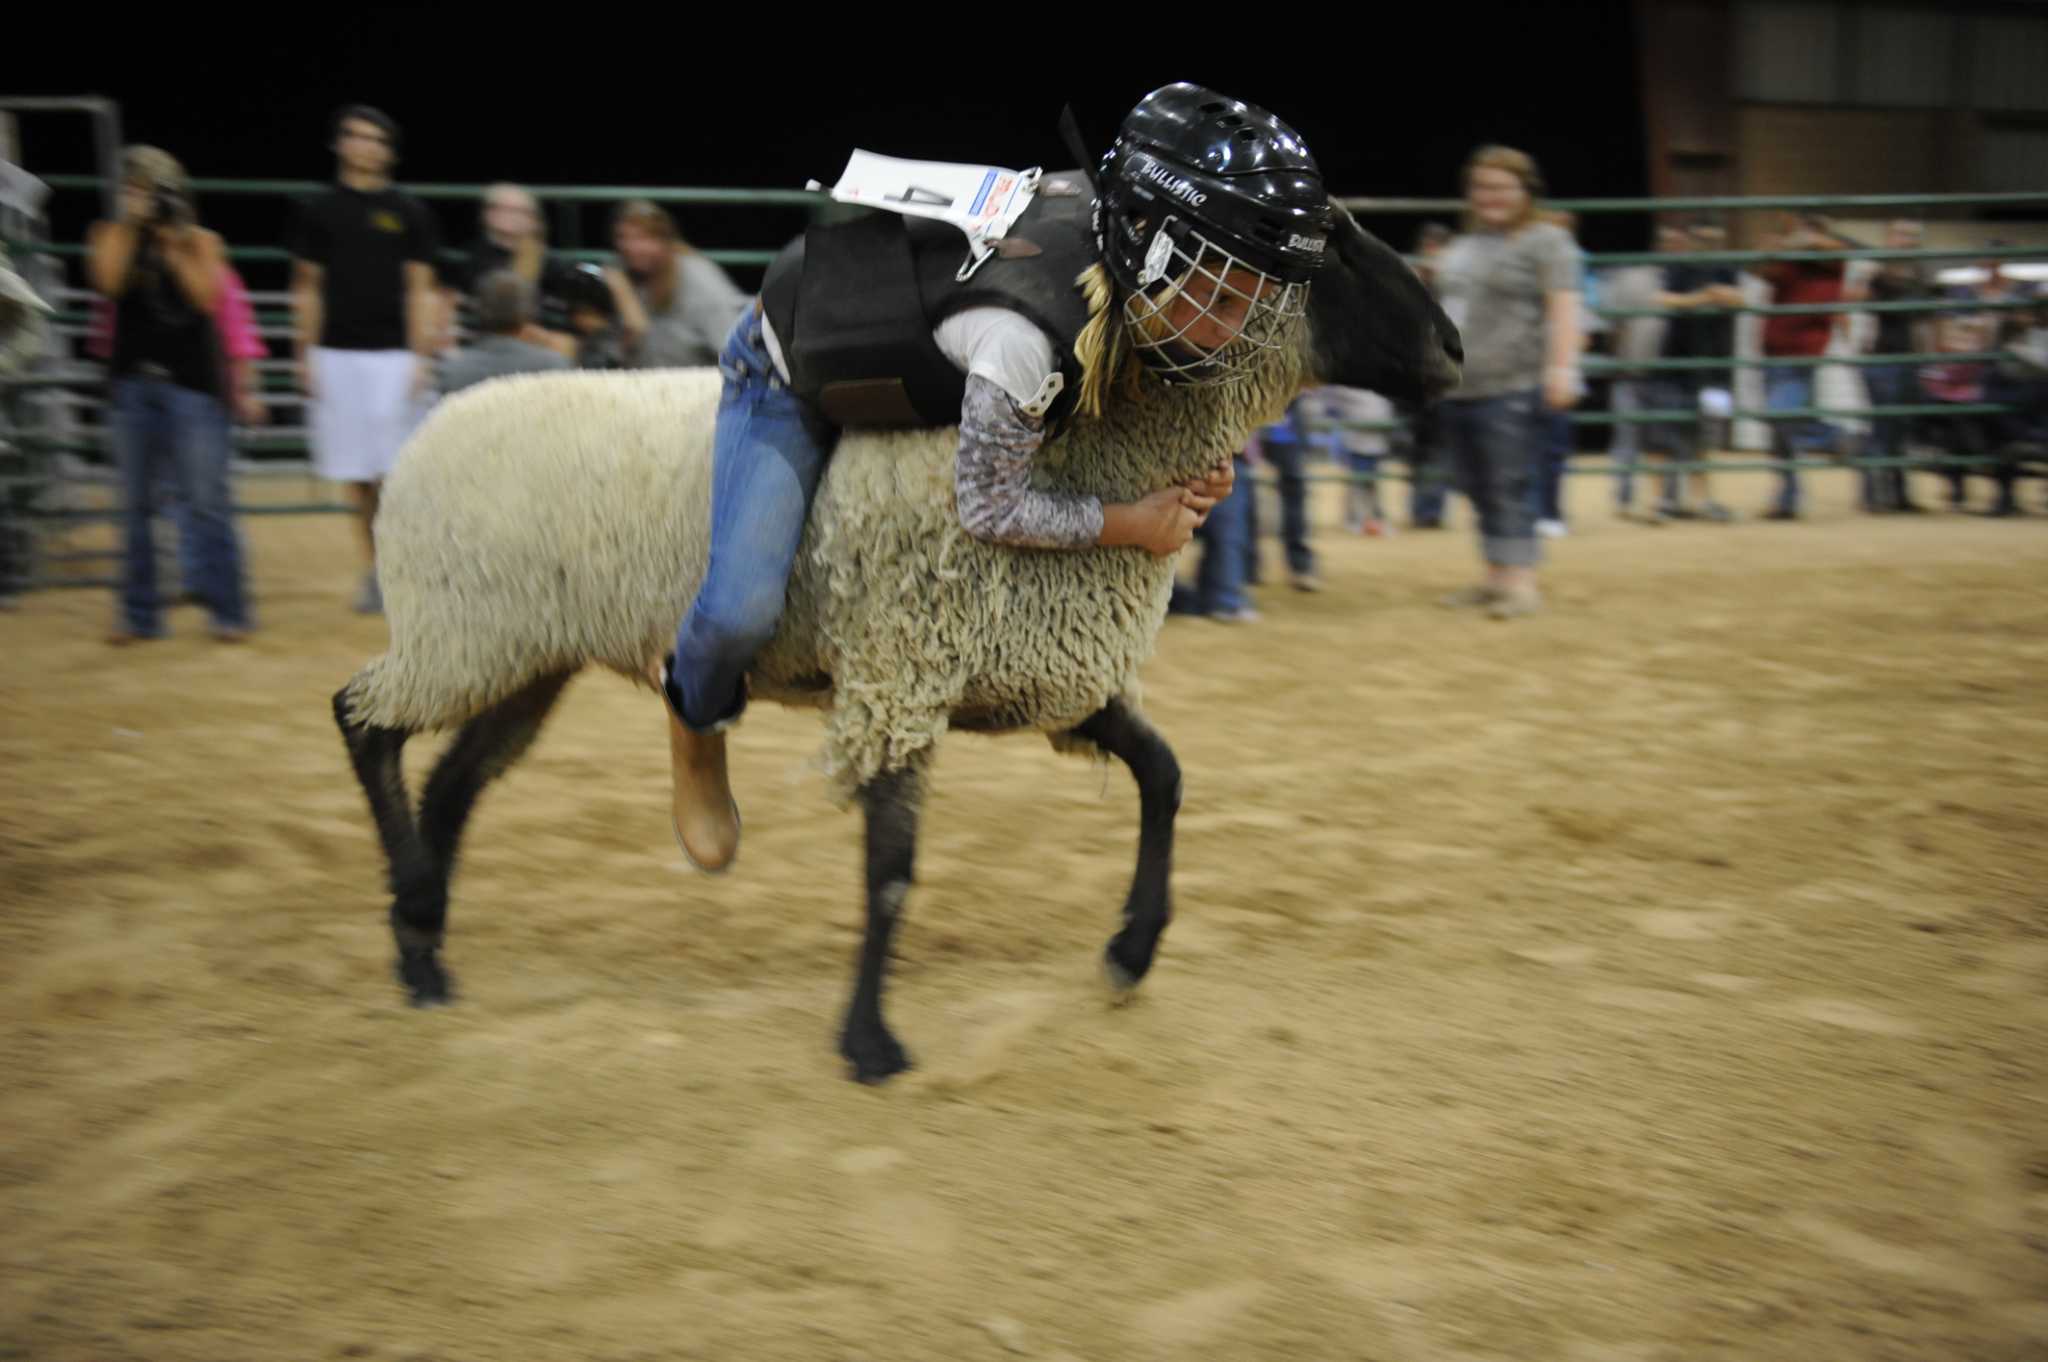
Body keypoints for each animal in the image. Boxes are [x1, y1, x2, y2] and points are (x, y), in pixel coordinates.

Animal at [331, 199, 1458, 1081]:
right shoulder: (900, 673)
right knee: (363, 720)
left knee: (454, 782)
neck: (1102, 443)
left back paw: (424, 941)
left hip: (525, 652)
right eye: (1335, 244)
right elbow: (890, 868)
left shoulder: (1047, 673)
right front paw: (868, 1042)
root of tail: (432, 429)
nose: (1452, 350)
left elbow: (1165, 775)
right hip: (463, 632)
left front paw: (1131, 952)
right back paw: (415, 914)